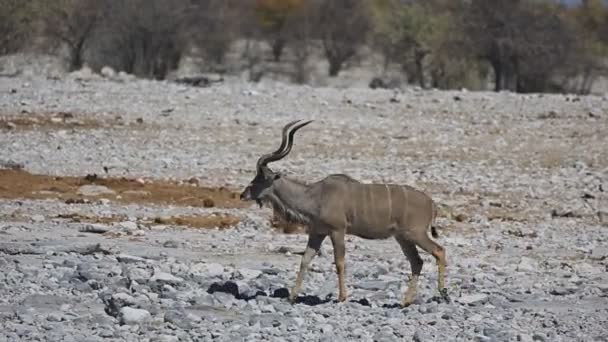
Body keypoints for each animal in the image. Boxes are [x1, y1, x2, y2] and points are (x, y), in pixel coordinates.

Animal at [240, 120, 448, 308]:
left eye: (258, 178)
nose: (243, 195)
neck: (315, 196)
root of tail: (431, 203)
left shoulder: (337, 230)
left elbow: (339, 262)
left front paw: (341, 297)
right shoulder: (317, 233)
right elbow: (305, 260)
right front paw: (291, 297)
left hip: (415, 234)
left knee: (438, 251)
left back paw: (443, 293)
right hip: (403, 238)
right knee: (417, 262)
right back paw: (405, 301)